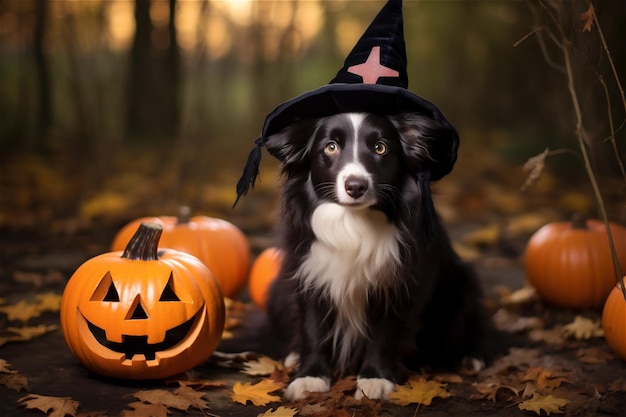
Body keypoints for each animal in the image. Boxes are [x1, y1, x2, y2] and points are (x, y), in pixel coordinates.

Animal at [249, 111, 488, 400]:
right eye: (331, 147)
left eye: (380, 148)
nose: (356, 186)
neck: (353, 223)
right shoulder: (310, 274)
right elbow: (312, 328)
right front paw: (310, 377)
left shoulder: (395, 283)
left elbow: (383, 333)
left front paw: (375, 378)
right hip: (277, 292)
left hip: (465, 283)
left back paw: (470, 358)